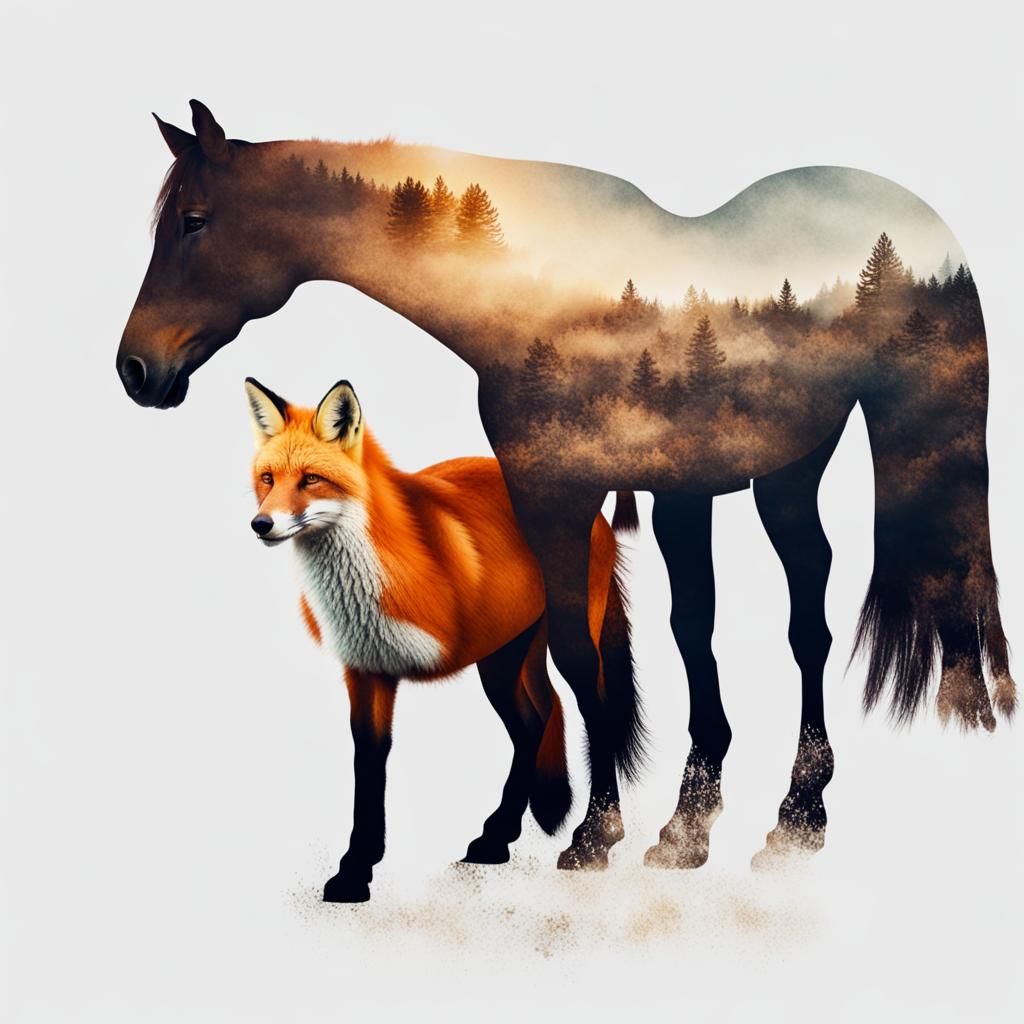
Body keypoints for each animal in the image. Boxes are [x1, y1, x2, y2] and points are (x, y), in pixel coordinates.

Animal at [245, 377, 643, 902]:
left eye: (311, 479)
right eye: (268, 479)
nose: (261, 524)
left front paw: (357, 868)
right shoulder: (365, 668)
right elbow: (368, 764)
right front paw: (356, 868)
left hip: (548, 645)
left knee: (588, 714)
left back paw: (592, 840)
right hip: (504, 659)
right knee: (539, 718)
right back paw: (499, 836)